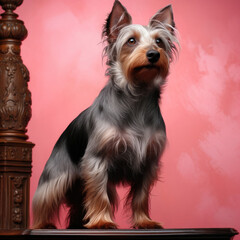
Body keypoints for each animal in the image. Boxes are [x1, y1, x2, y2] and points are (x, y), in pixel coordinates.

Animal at [31, 0, 178, 229]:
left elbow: (141, 195)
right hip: (56, 176)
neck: (137, 95)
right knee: (45, 199)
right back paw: (43, 224)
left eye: (159, 41)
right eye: (131, 41)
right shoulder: (96, 161)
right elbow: (99, 195)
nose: (153, 54)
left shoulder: (148, 163)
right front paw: (101, 221)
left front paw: (144, 221)